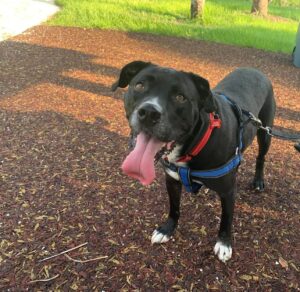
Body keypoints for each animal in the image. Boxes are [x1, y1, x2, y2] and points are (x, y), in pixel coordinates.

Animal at [112, 60, 276, 262]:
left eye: (180, 97)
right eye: (140, 85)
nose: (149, 112)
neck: (195, 143)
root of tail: (257, 71)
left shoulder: (228, 192)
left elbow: (226, 219)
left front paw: (224, 244)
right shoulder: (172, 180)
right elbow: (174, 208)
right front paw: (167, 229)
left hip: (265, 132)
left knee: (261, 157)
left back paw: (258, 181)